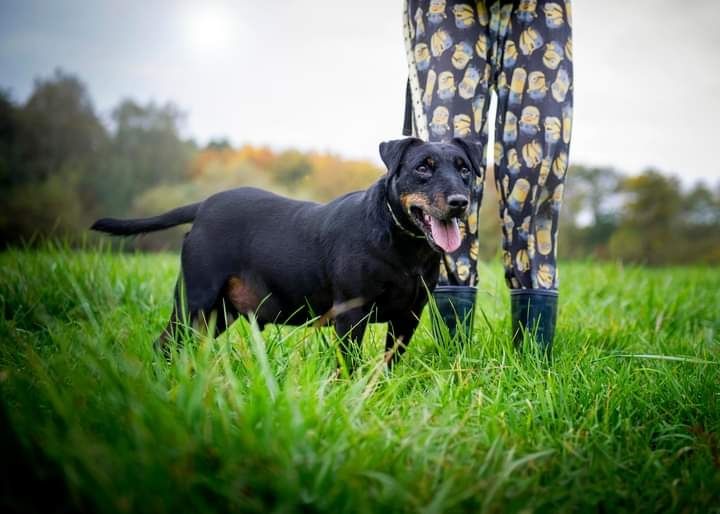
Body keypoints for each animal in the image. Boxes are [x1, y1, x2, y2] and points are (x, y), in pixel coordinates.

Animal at [93, 137, 480, 364]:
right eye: (423, 168)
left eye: (464, 169)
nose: (459, 202)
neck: (403, 244)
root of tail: (204, 206)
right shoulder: (350, 314)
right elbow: (349, 365)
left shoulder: (408, 316)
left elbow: (388, 363)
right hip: (195, 301)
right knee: (164, 343)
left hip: (219, 313)